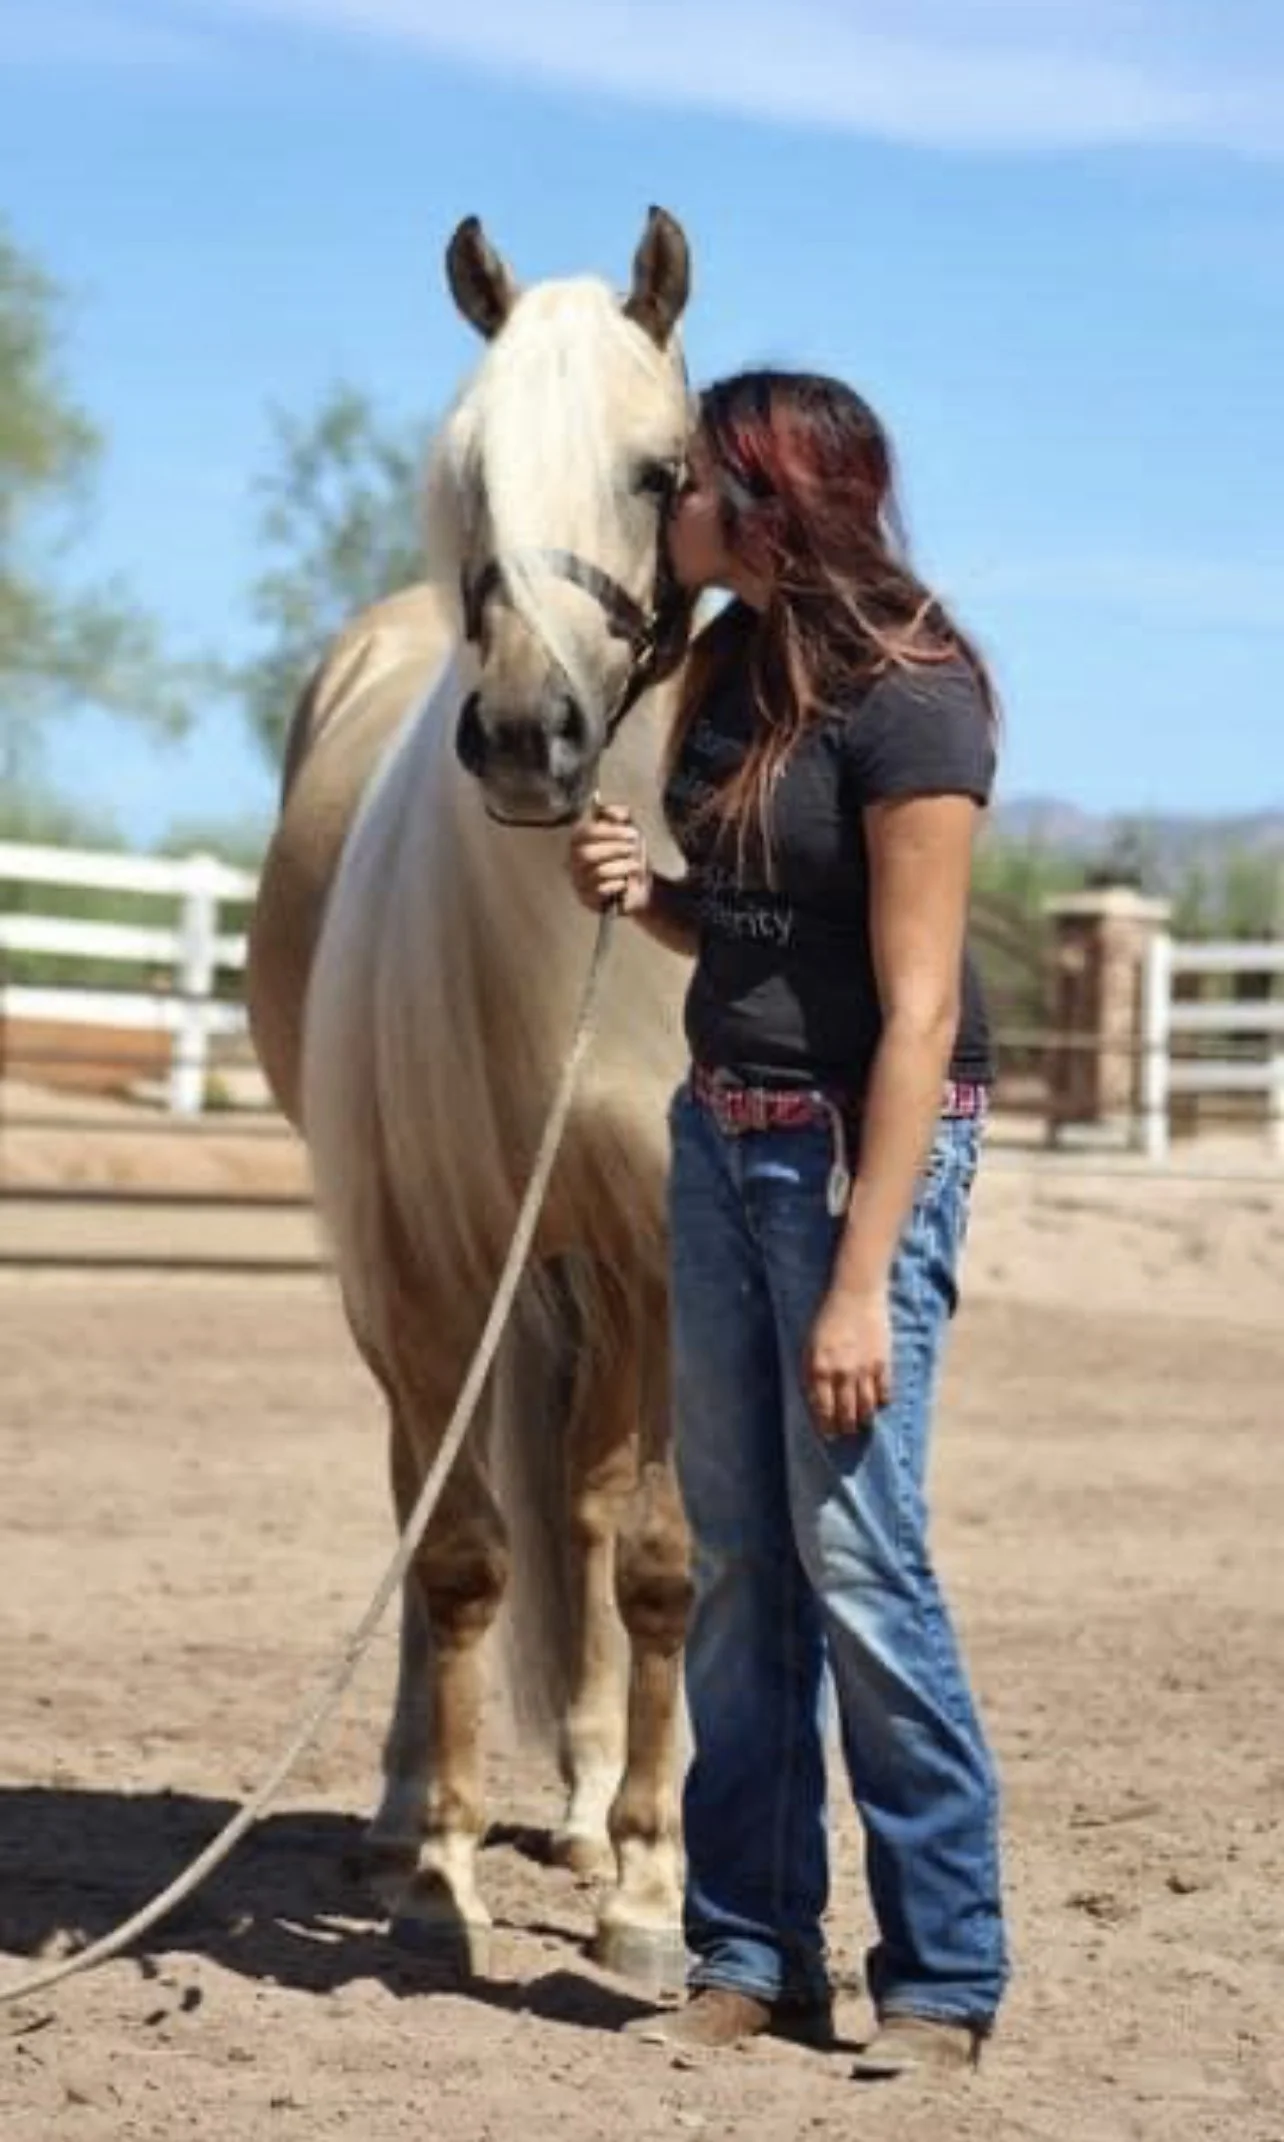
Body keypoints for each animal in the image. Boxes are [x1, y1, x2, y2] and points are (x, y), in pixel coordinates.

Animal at [246, 208, 696, 1987]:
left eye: (662, 469)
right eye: (467, 475)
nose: (523, 735)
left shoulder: (658, 1262)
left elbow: (645, 1557)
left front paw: (646, 1886)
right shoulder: (426, 1263)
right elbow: (454, 1554)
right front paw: (439, 1868)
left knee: (578, 1512)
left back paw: (580, 1810)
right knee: (436, 1504)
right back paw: (392, 1809)